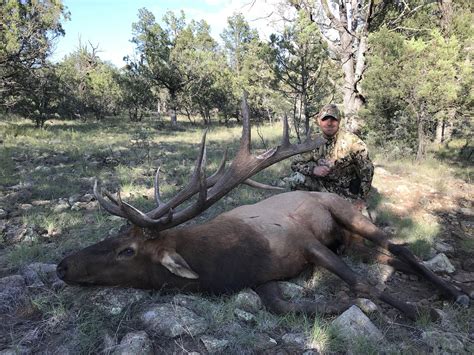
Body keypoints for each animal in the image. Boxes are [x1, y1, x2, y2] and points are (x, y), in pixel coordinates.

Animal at [56, 96, 470, 322]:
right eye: (114, 236)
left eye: (127, 250)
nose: (62, 265)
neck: (232, 263)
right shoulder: (263, 280)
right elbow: (286, 308)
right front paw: (340, 305)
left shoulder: (306, 241)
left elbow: (361, 283)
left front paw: (419, 311)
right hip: (351, 242)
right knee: (391, 257)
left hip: (346, 213)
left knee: (400, 248)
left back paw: (454, 294)